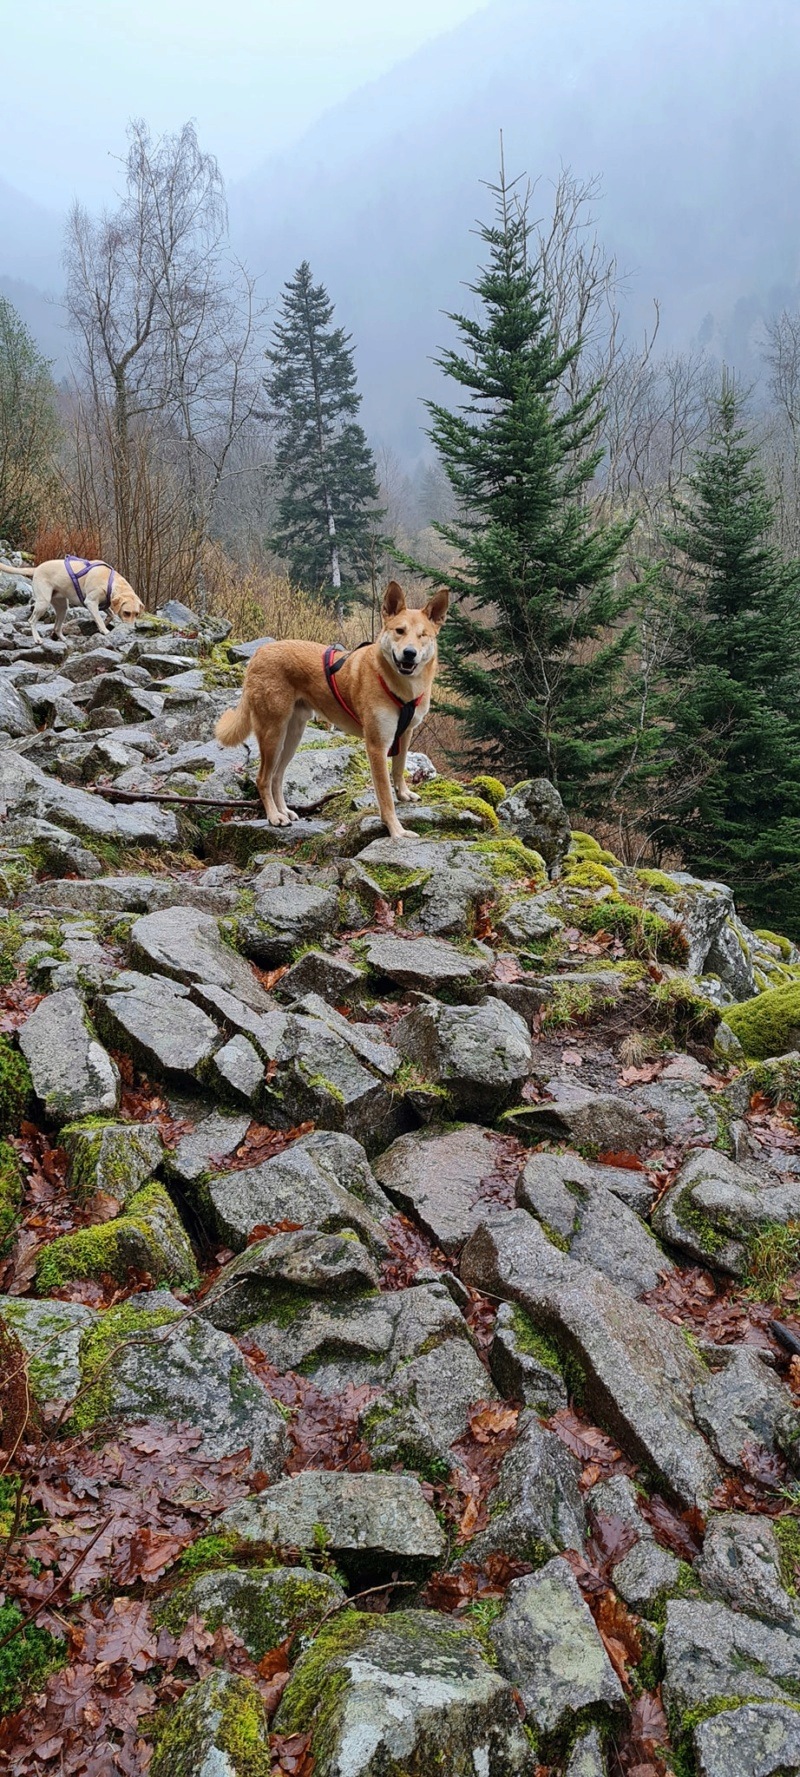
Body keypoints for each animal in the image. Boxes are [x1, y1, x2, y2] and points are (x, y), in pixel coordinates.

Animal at [216, 575, 446, 838]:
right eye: (399, 631)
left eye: (423, 635)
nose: (409, 653)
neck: (400, 684)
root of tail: (259, 652)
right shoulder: (377, 746)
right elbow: (385, 796)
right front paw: (396, 830)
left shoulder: (405, 733)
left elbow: (398, 769)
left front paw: (403, 793)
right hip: (272, 732)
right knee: (263, 778)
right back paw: (274, 816)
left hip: (292, 736)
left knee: (276, 776)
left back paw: (284, 810)